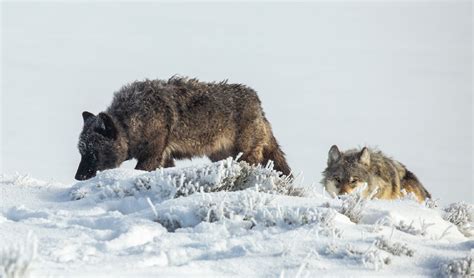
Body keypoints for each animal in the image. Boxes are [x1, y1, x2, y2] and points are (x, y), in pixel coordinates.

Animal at [74, 76, 290, 180]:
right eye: (82, 153)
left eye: (93, 153)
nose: (78, 177)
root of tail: (258, 104)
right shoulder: (165, 157)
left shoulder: (152, 156)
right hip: (221, 156)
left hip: (245, 155)